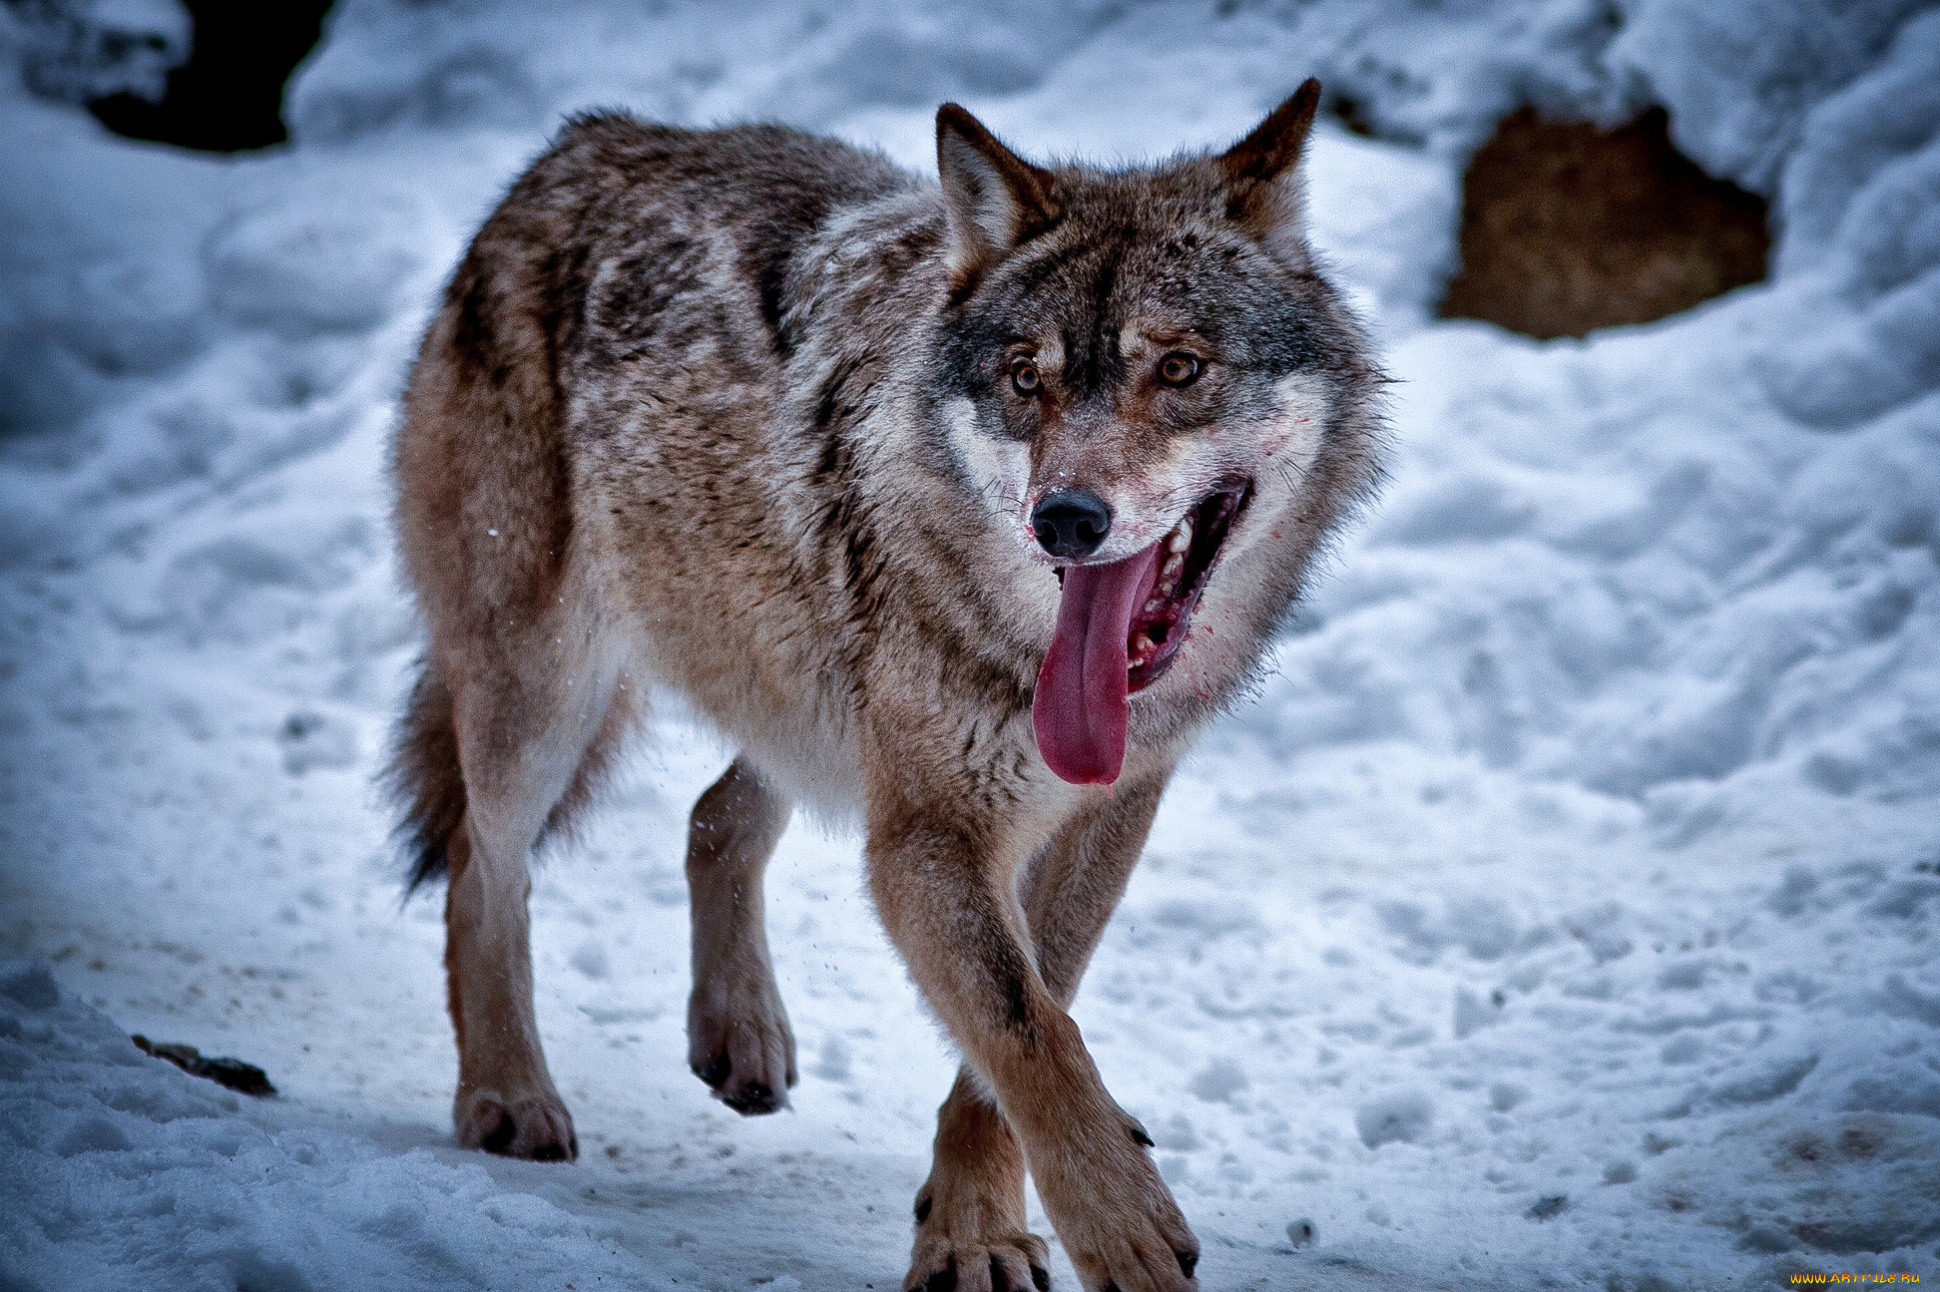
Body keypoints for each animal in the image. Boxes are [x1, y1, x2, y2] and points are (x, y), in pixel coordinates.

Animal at [389, 80, 1381, 1288]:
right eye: (1025, 378)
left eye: (1180, 368)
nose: (1064, 518)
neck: (1022, 656)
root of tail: (579, 142)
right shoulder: (927, 835)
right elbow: (1027, 1030)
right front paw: (1108, 1226)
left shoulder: (1101, 811)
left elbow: (1027, 1020)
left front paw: (973, 1228)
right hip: (545, 694)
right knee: (483, 872)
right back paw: (507, 1095)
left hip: (801, 693)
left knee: (711, 815)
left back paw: (740, 1032)